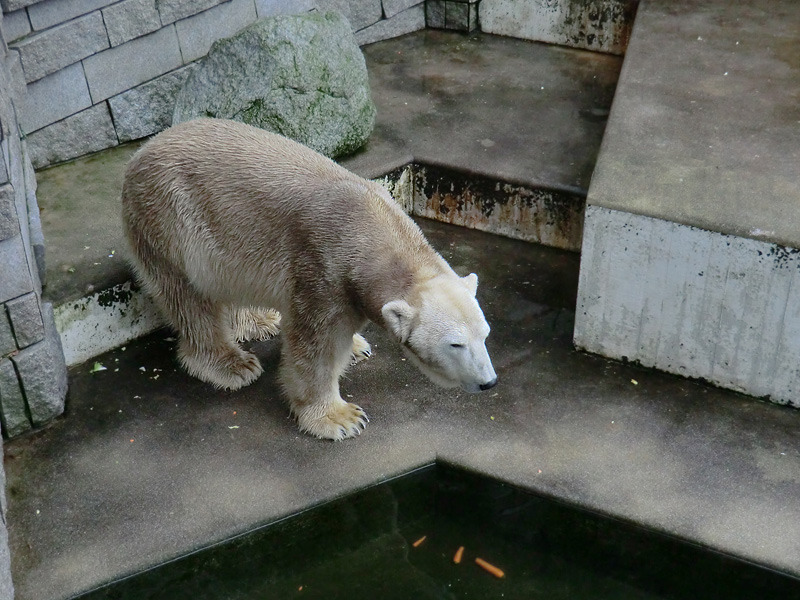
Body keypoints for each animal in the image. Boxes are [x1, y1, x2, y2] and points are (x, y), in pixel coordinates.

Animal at [120, 120, 494, 440]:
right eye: (455, 344)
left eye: (485, 335)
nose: (489, 382)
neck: (370, 227)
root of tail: (139, 155)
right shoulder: (323, 267)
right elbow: (317, 344)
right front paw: (339, 418)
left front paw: (356, 347)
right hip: (171, 219)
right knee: (189, 297)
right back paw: (232, 363)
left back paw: (258, 321)